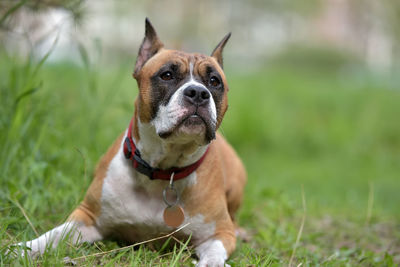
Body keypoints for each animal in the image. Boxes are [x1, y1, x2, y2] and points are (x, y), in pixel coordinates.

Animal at [13, 18, 247, 267]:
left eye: (214, 81)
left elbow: (214, 253)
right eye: (166, 75)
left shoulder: (220, 233)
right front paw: (24, 249)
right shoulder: (87, 217)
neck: (163, 171)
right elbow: (54, 234)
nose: (198, 92)